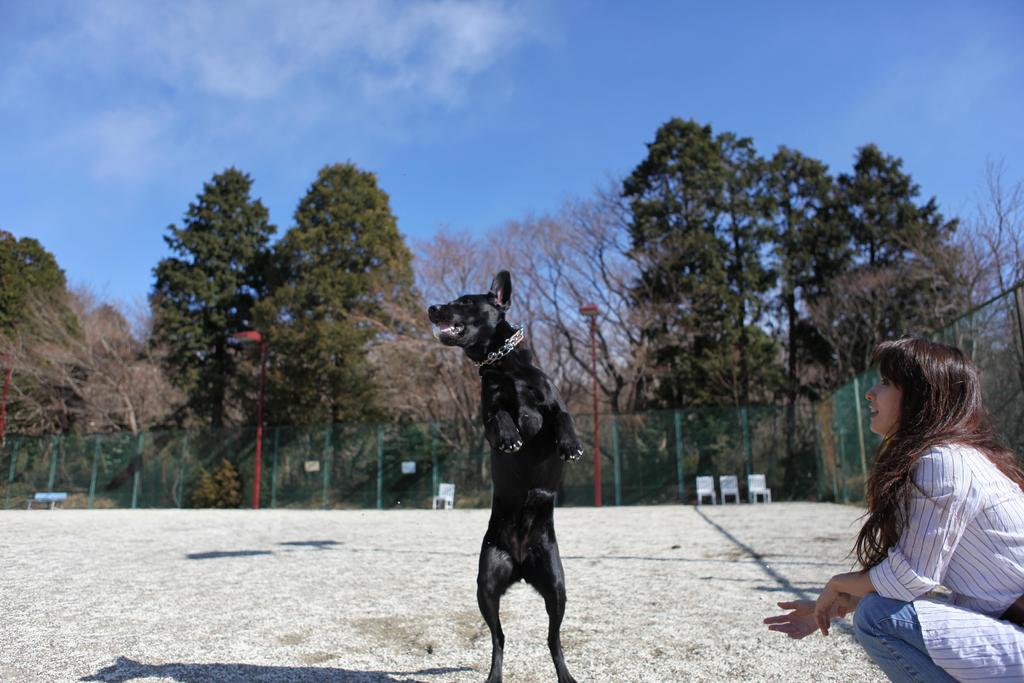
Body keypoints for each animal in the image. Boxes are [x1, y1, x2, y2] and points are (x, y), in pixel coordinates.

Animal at [425, 270, 585, 683]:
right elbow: (499, 417)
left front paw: (571, 445)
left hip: (557, 587)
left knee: (553, 640)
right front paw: (512, 436)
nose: (432, 307)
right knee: (499, 638)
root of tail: (522, 563)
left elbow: (565, 418)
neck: (505, 366)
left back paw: (566, 676)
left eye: (465, 302)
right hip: (486, 585)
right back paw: (494, 676)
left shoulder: (553, 405)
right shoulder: (487, 415)